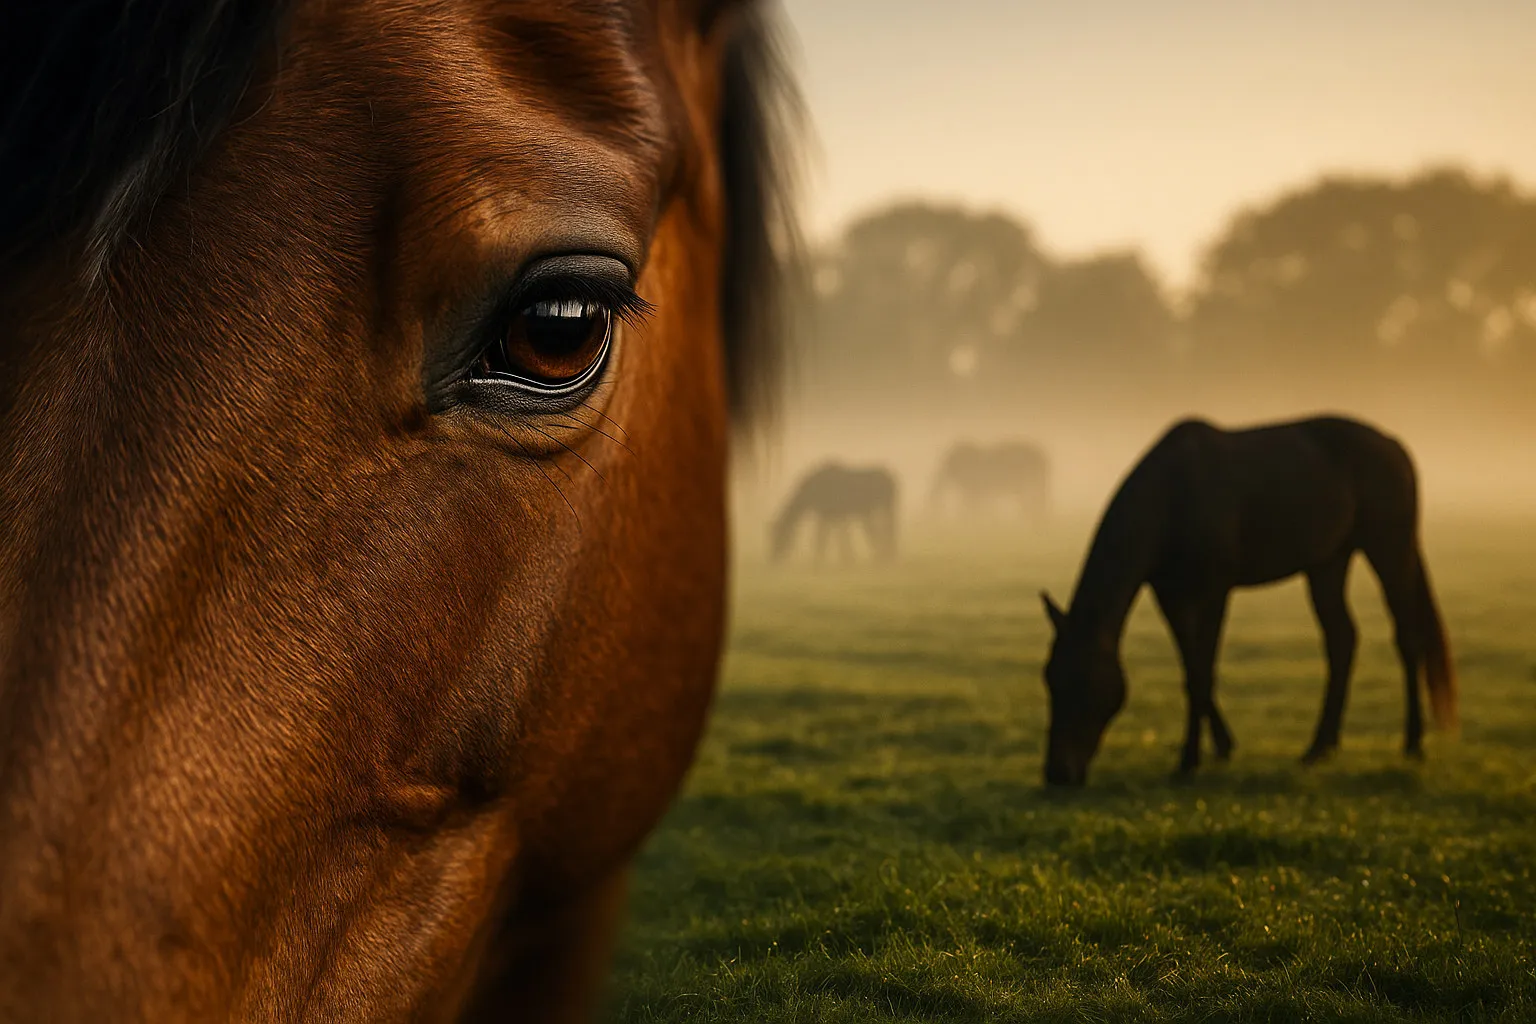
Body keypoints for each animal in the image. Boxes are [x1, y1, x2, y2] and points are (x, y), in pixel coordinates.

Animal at [769, 463, 899, 564]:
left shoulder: (830, 515)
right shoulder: (832, 515)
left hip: (888, 507)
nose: (773, 558)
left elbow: (823, 537)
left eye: (780, 535)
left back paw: (888, 555)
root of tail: (892, 478)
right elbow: (835, 536)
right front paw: (847, 558)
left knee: (890, 529)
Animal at [1040, 416, 1456, 787]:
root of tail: (1395, 446)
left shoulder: (1214, 591)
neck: (1172, 499)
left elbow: (1202, 672)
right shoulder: (1170, 596)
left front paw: (1189, 761)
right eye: (1050, 680)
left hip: (1389, 546)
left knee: (1407, 637)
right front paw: (1221, 746)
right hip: (1328, 561)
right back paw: (1319, 747)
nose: (1058, 774)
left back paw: (1412, 744)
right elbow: (1190, 668)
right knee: (1342, 639)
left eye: (1084, 684)